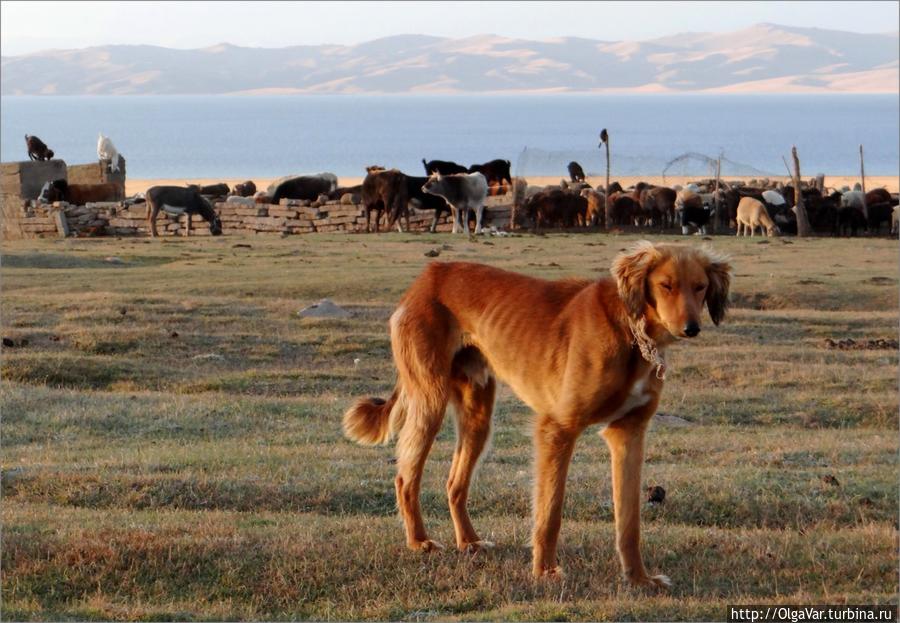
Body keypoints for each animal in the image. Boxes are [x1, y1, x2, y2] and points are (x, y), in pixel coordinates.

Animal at [342, 241, 728, 588]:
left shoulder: (628, 433)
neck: (630, 332)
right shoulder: (557, 429)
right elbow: (550, 511)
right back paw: (419, 541)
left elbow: (629, 520)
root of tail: (429, 275)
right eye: (666, 285)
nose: (691, 328)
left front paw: (639, 579)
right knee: (405, 477)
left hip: (478, 415)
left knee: (455, 483)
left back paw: (469, 542)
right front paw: (544, 572)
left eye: (700, 286)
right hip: (430, 400)